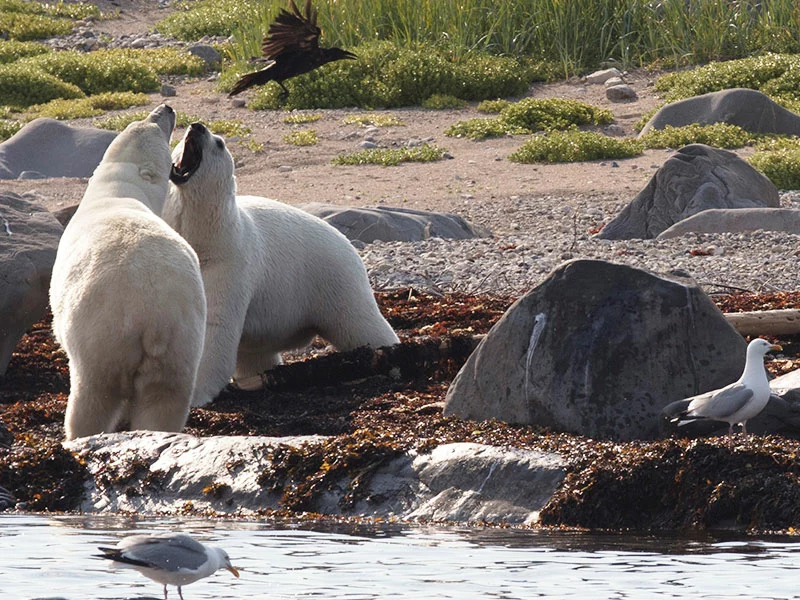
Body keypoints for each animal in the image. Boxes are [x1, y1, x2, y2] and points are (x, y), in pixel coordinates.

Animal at [50, 105, 206, 438]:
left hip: (102, 337)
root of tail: (152, 317)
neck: (119, 190)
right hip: (181, 342)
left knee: (94, 396)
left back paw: (78, 435)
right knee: (165, 400)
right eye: (150, 119)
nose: (166, 108)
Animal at [163, 122, 400, 406]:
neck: (204, 238)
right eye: (181, 139)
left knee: (363, 324)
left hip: (336, 280)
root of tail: (348, 244)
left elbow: (214, 326)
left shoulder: (228, 265)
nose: (197, 127)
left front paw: (193, 394)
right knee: (255, 356)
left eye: (219, 143)